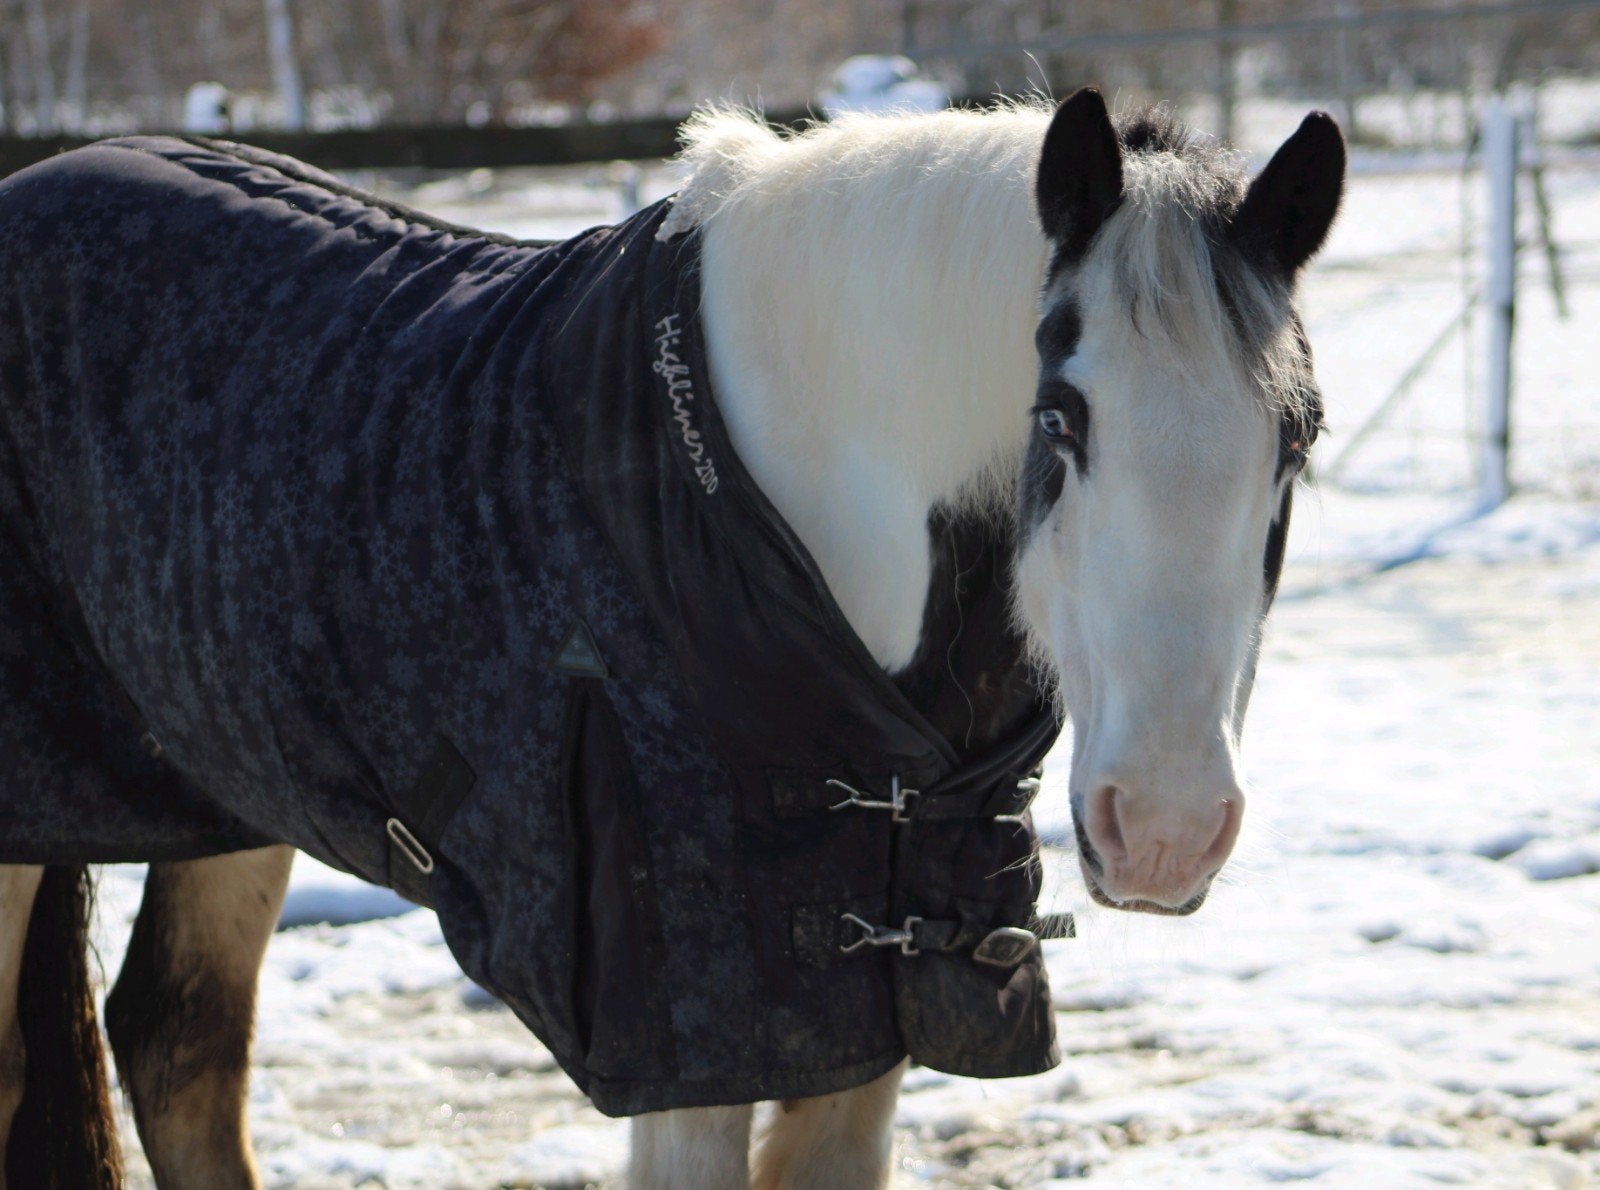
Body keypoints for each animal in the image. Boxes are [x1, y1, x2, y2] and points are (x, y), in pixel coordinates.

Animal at [0, 87, 1343, 1188]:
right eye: (1060, 417)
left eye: (1298, 435)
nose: (1164, 828)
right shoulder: (691, 1029)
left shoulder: (867, 1002)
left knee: (178, 1042)